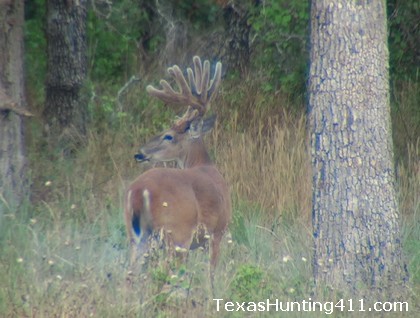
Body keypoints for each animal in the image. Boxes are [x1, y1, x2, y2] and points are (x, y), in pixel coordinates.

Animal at [123, 56, 231, 284]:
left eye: (168, 135)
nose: (139, 153)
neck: (204, 164)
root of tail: (138, 191)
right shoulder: (217, 231)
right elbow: (211, 275)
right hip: (177, 233)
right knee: (167, 272)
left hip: (135, 234)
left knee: (130, 273)